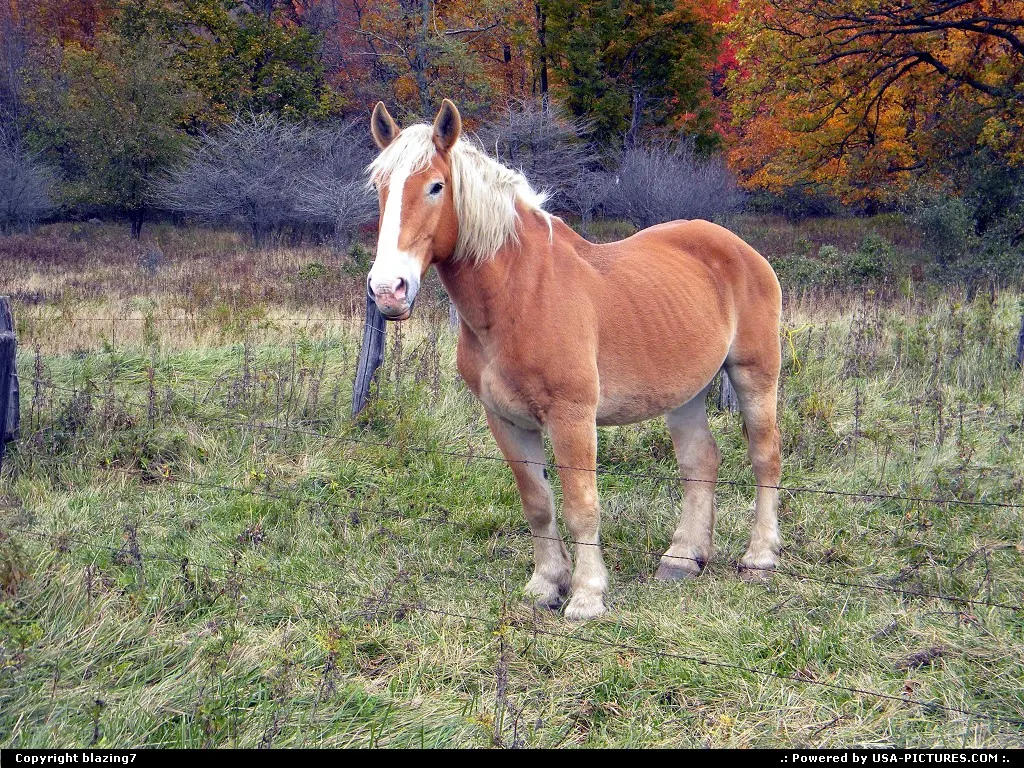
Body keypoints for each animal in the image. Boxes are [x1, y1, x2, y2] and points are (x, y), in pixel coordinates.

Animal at [365, 99, 782, 620]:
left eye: (436, 186)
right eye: (379, 188)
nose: (388, 290)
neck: (519, 296)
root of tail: (742, 250)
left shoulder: (571, 417)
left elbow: (582, 507)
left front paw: (587, 595)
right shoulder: (506, 420)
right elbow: (538, 503)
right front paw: (546, 584)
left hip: (755, 375)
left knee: (765, 457)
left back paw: (760, 557)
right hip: (686, 393)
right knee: (700, 460)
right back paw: (683, 558)